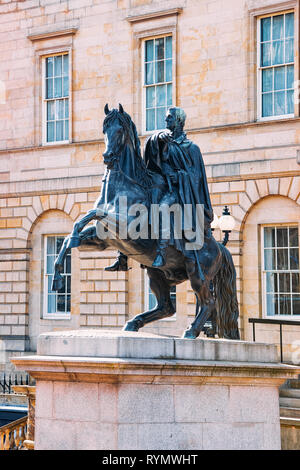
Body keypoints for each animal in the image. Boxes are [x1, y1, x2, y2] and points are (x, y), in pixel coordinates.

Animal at [51, 103, 239, 338]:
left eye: (120, 130)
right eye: (104, 129)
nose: (107, 157)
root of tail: (220, 248)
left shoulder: (128, 227)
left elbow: (91, 214)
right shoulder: (103, 239)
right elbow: (71, 236)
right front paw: (57, 275)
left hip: (198, 273)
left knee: (208, 302)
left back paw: (191, 330)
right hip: (156, 274)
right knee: (167, 307)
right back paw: (134, 322)